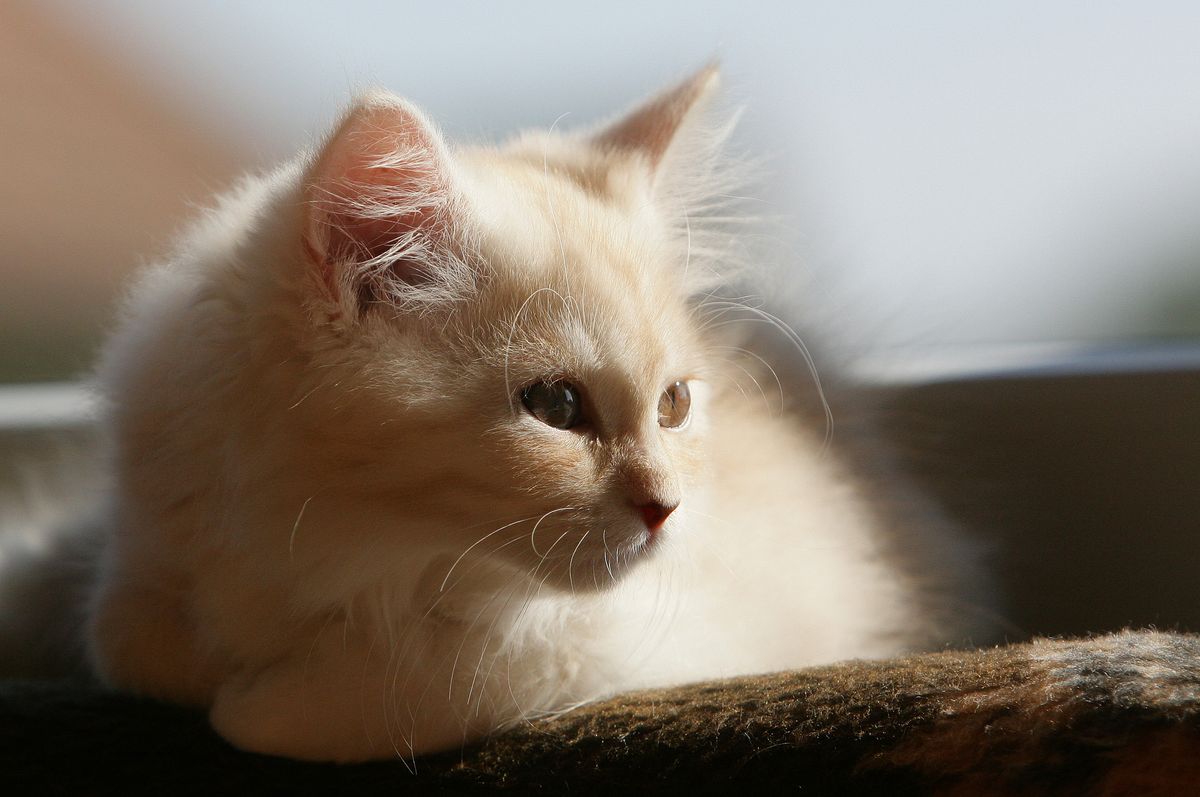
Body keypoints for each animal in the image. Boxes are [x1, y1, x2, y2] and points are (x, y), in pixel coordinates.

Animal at [4, 65, 988, 763]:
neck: (340, 545)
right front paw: (204, 657)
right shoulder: (153, 527)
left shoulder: (661, 628)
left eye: (674, 404)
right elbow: (126, 632)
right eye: (555, 405)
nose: (666, 507)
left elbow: (424, 682)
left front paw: (260, 699)